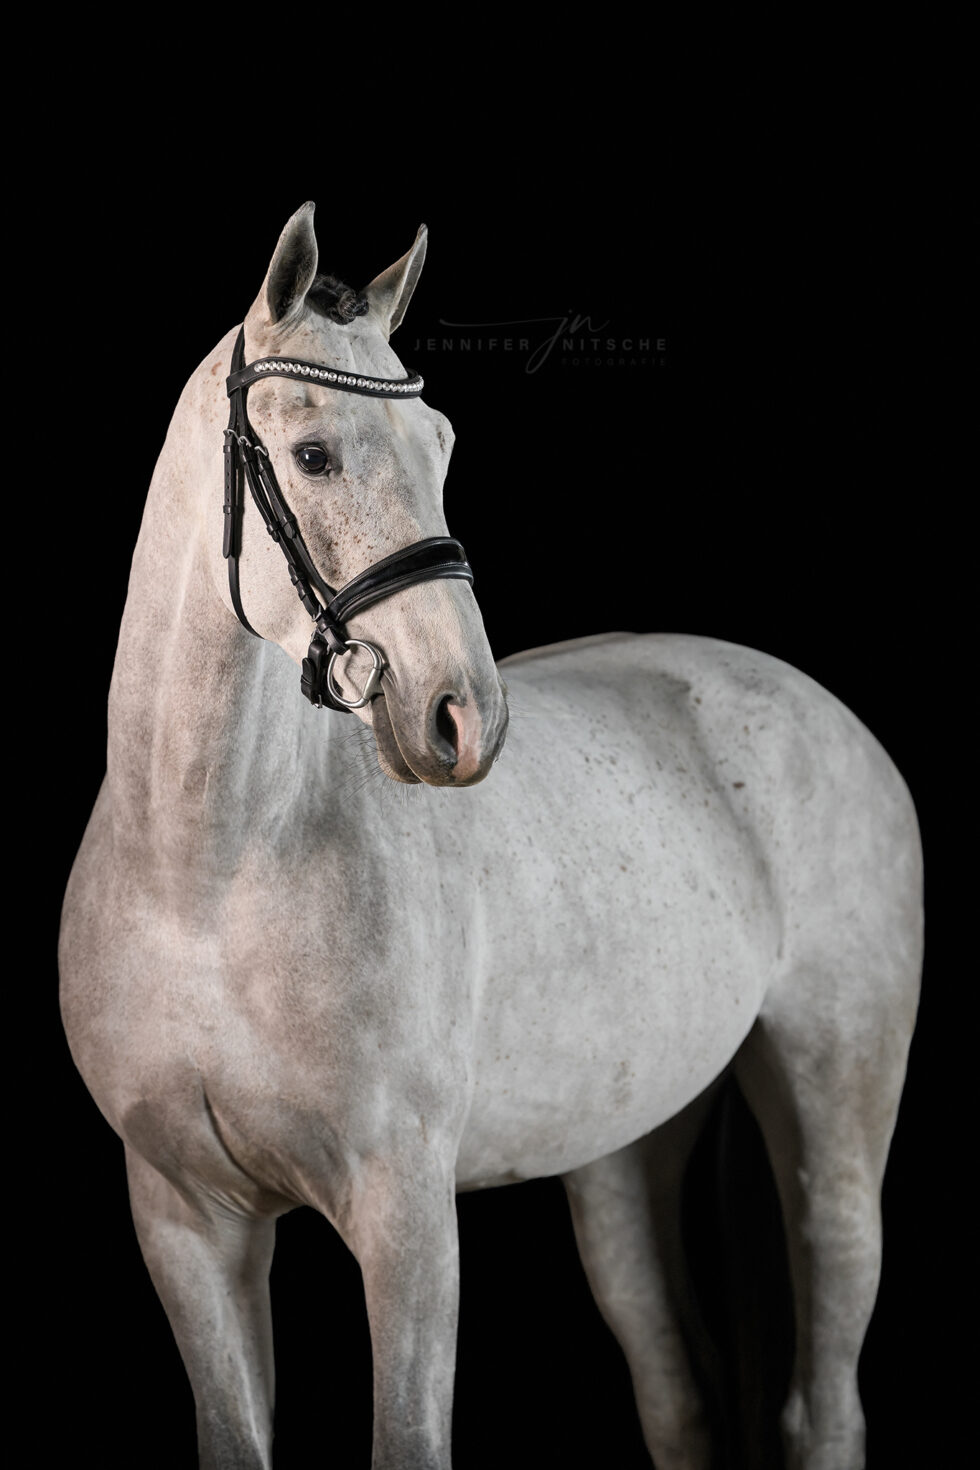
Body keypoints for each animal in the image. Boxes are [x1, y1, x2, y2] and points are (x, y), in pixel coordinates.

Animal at [59, 201, 923, 1470]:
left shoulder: (405, 1218)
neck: (203, 881)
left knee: (823, 1401)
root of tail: (819, 707)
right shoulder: (186, 1222)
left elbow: (408, 1440)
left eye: (442, 444)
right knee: (676, 1399)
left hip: (837, 1107)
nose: (460, 715)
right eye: (313, 457)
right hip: (618, 1148)